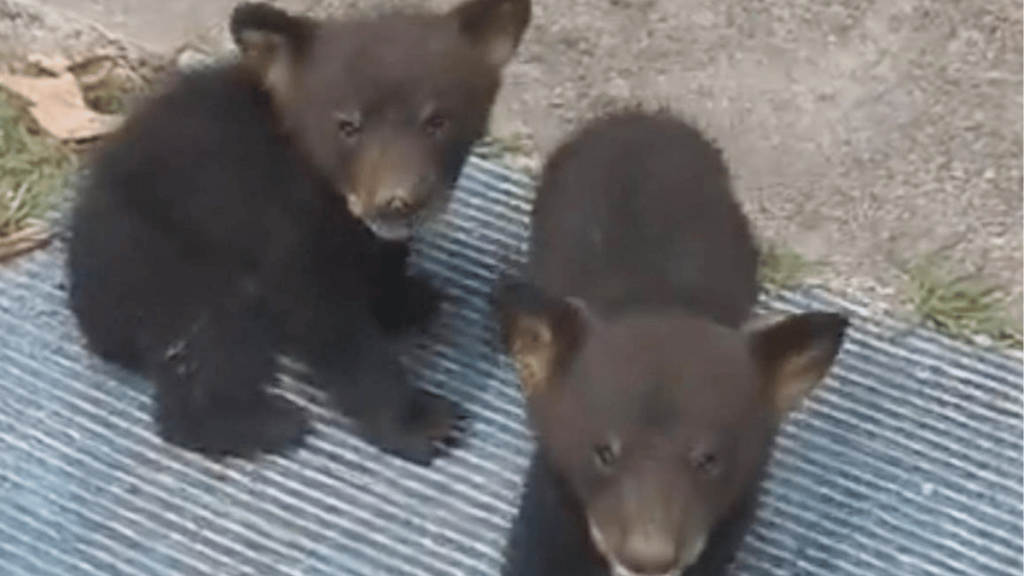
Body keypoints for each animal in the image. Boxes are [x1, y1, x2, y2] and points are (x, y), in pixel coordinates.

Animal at [66, 0, 531, 465]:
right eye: (347, 126)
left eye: (437, 121)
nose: (398, 201)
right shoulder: (282, 226)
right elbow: (331, 327)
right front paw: (416, 422)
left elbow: (379, 261)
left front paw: (402, 300)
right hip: (167, 267)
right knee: (205, 347)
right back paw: (264, 424)